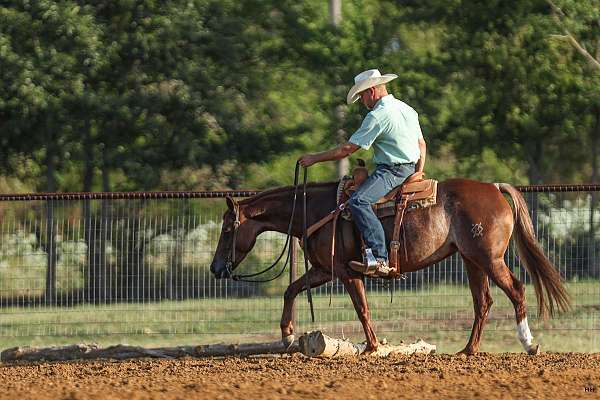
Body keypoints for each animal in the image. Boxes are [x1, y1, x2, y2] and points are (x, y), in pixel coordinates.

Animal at [211, 180, 572, 354]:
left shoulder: (347, 273)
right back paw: (468, 350)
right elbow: (290, 288)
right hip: (471, 261)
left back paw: (529, 344)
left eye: (227, 229)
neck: (317, 209)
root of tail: (494, 187)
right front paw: (287, 334)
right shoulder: (325, 271)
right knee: (483, 302)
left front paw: (372, 347)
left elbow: (362, 309)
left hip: (489, 259)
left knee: (516, 291)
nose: (215, 268)